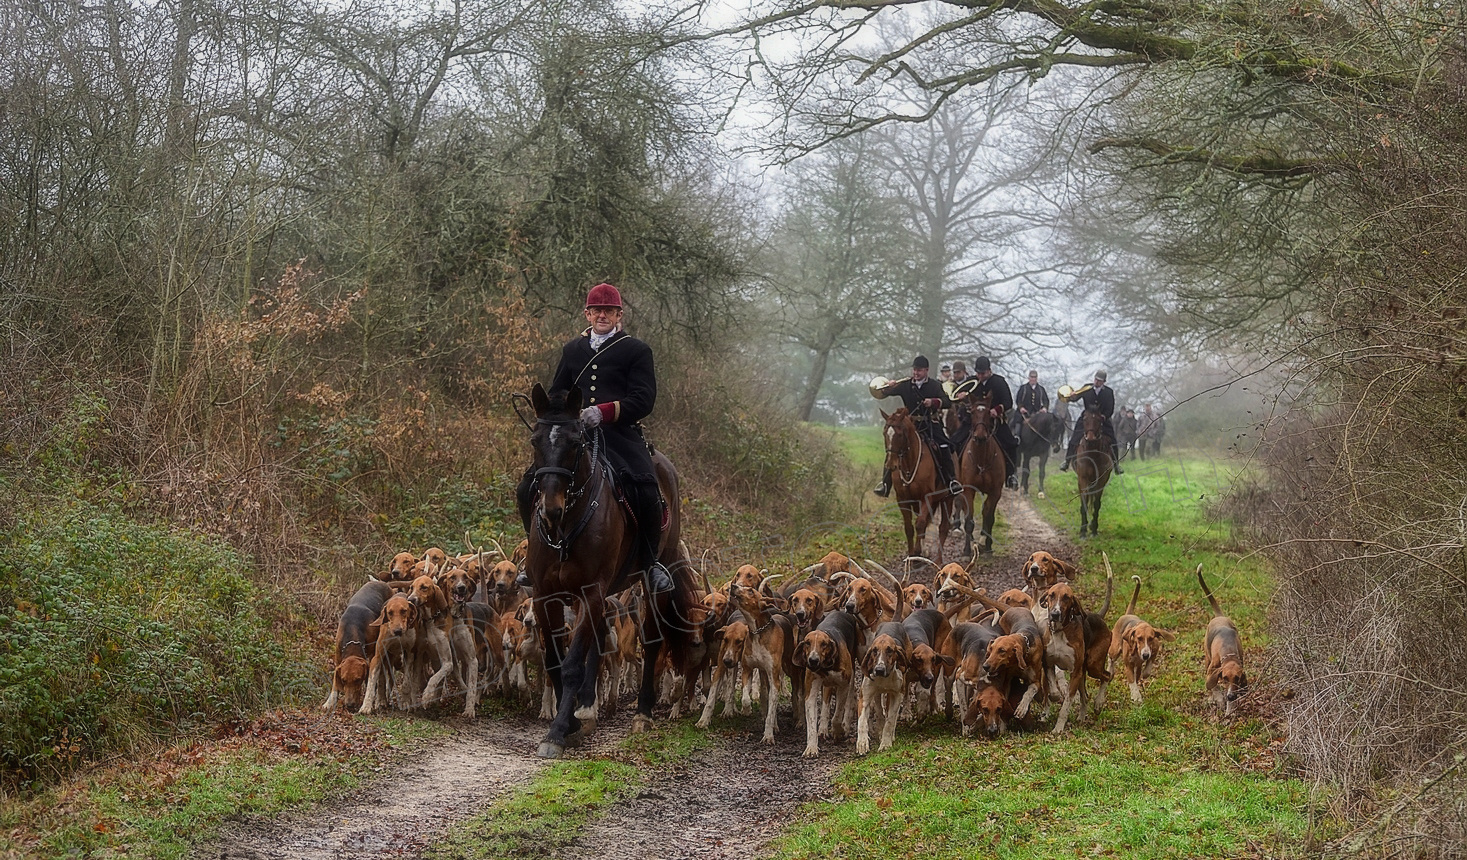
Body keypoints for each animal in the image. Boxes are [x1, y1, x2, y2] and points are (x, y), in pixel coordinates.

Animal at [522, 384, 698, 751]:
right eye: (535, 440)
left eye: (575, 441)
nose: (550, 510)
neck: (565, 529)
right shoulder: (546, 595)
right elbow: (556, 661)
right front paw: (573, 721)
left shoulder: (591, 591)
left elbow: (572, 663)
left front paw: (558, 731)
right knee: (600, 639)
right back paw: (588, 709)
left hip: (651, 578)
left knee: (651, 641)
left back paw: (642, 713)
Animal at [874, 407, 956, 563]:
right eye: (884, 433)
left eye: (900, 434)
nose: (891, 465)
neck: (909, 464)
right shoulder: (903, 499)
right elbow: (909, 527)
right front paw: (912, 555)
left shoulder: (926, 498)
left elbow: (920, 524)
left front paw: (917, 552)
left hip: (947, 498)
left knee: (943, 527)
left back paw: (938, 560)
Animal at [956, 396, 1003, 554]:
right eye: (972, 413)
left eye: (989, 413)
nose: (980, 437)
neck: (981, 459)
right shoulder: (968, 489)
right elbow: (969, 519)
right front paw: (966, 550)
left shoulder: (995, 492)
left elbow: (989, 517)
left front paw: (987, 546)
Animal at [1073, 402, 1114, 534]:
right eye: (1085, 418)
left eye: (1099, 419)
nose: (1090, 438)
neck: (1092, 454)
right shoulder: (1083, 479)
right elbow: (1084, 503)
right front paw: (1082, 531)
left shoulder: (1101, 480)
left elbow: (1096, 504)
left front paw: (1094, 528)